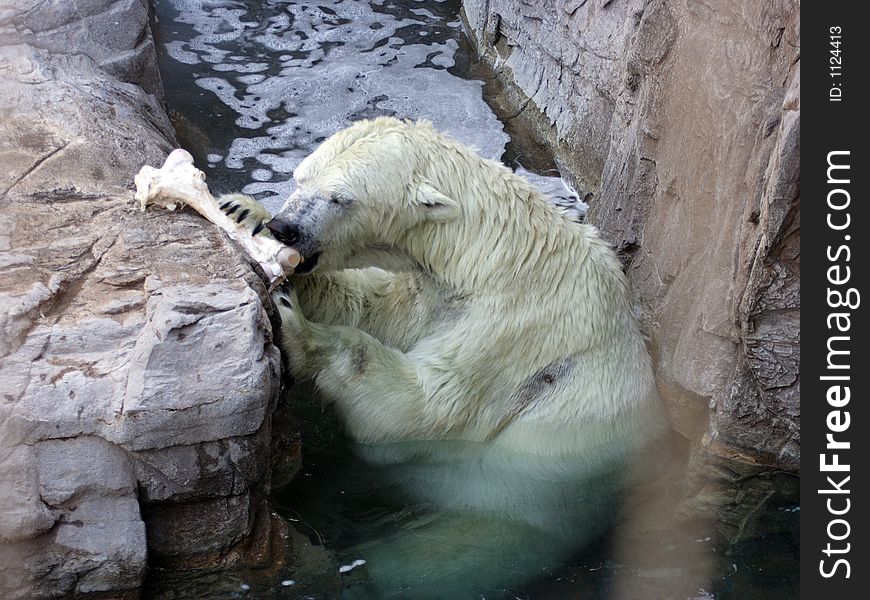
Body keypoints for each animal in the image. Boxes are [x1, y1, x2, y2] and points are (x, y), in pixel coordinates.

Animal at [220, 117, 668, 596]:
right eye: (301, 177)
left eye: (341, 198)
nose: (286, 228)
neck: (490, 254)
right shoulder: (430, 291)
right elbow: (374, 305)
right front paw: (244, 213)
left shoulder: (512, 326)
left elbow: (419, 409)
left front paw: (296, 326)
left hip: (510, 515)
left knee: (424, 565)